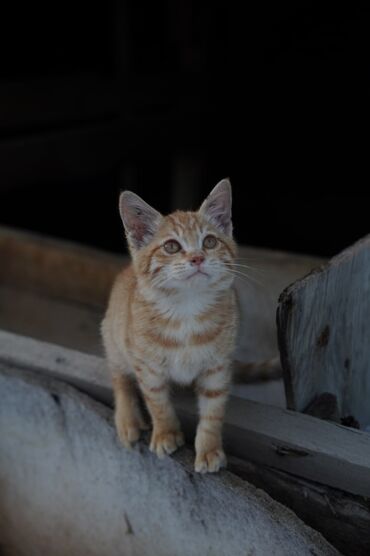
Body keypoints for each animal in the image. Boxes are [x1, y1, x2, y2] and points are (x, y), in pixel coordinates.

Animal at [102, 179, 237, 474]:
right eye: (172, 247)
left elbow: (213, 410)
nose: (197, 258)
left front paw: (209, 448)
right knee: (119, 376)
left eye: (210, 242)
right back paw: (127, 419)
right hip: (113, 337)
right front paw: (166, 433)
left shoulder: (217, 368)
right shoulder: (147, 367)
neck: (186, 311)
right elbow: (158, 403)